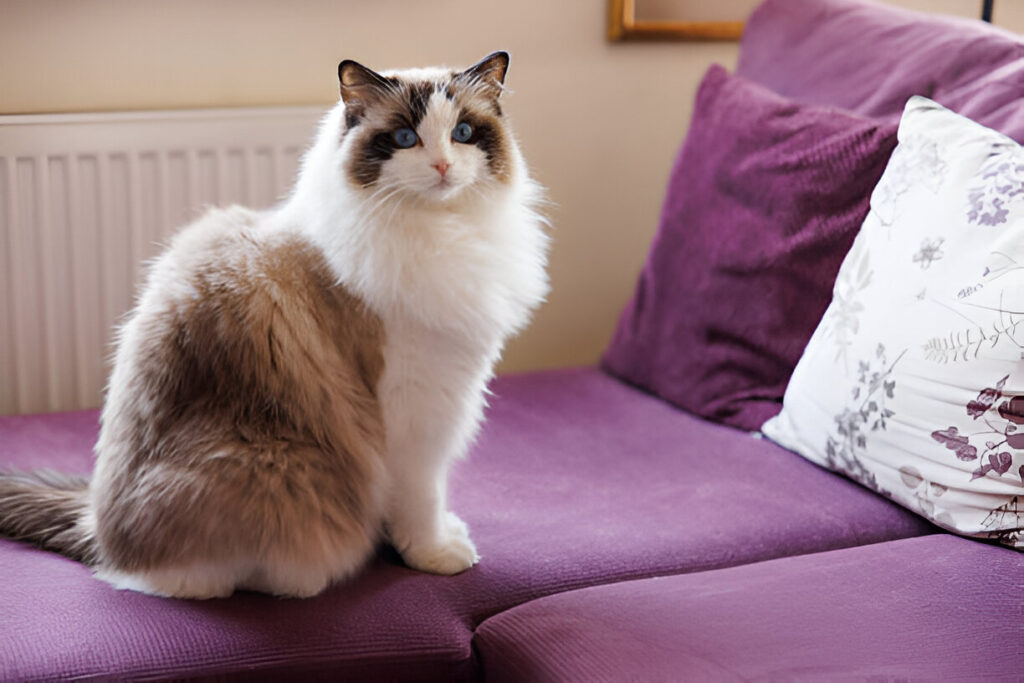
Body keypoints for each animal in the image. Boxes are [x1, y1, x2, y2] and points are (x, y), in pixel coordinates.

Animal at [0, 52, 552, 598]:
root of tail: (99, 531)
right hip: (275, 470)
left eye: (463, 133)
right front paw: (435, 554)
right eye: (403, 138)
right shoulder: (416, 413)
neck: (444, 232)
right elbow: (422, 499)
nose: (441, 166)